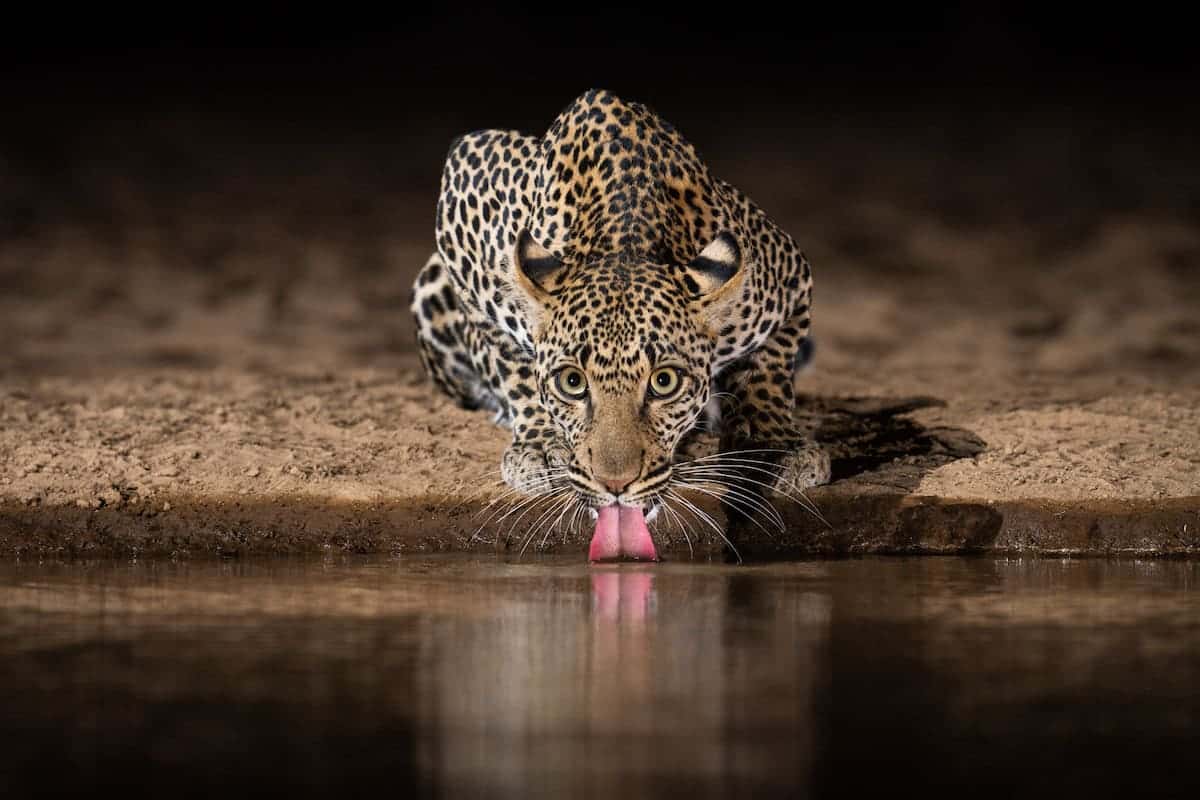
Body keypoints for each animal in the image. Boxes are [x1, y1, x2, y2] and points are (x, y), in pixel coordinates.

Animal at [408, 86, 830, 551]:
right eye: (571, 382)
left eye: (665, 382)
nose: (615, 485)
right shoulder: (465, 196)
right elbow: (508, 359)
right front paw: (541, 443)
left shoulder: (790, 274)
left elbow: (770, 371)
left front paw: (777, 445)